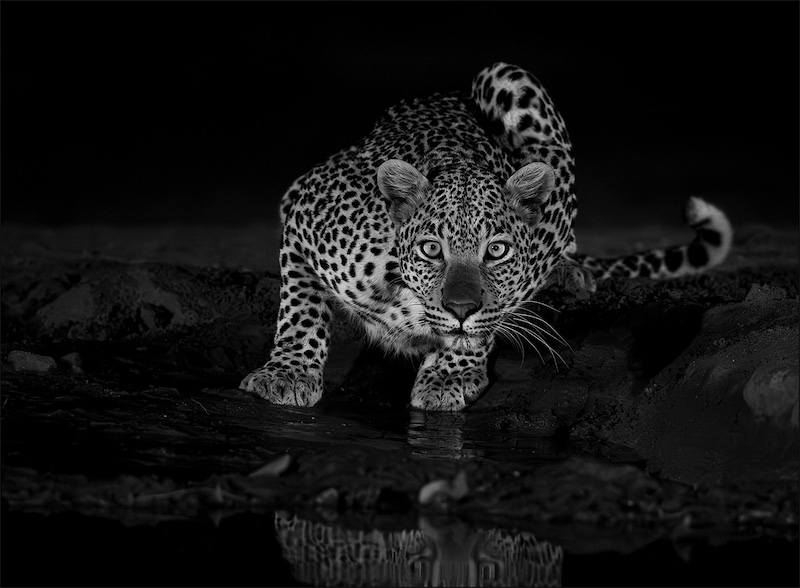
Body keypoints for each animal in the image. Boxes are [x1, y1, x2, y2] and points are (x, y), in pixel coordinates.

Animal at [241, 62, 733, 411]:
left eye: (496, 251)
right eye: (430, 249)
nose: (460, 309)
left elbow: (495, 313)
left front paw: (452, 375)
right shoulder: (301, 207)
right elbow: (301, 309)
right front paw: (287, 374)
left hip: (510, 79)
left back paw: (572, 275)